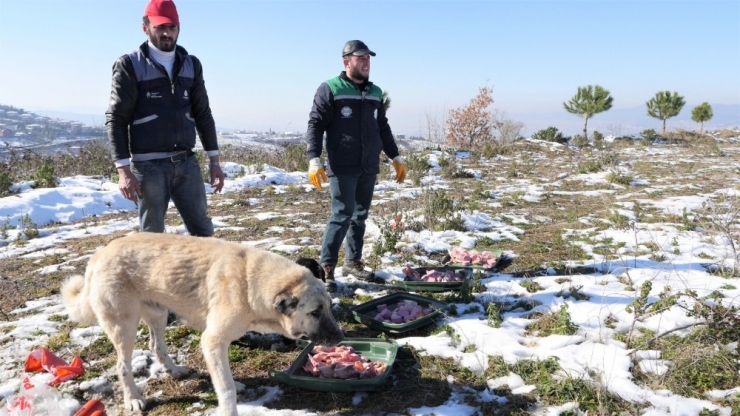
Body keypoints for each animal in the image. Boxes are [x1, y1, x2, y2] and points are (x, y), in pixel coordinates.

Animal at [61, 232, 344, 414]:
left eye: (329, 307)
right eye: (316, 312)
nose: (341, 339)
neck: (249, 281)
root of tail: (98, 255)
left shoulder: (218, 342)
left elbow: (224, 378)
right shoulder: (212, 340)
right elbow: (226, 387)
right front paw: (230, 407)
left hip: (158, 314)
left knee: (156, 346)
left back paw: (174, 370)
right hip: (125, 326)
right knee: (122, 366)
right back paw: (133, 399)